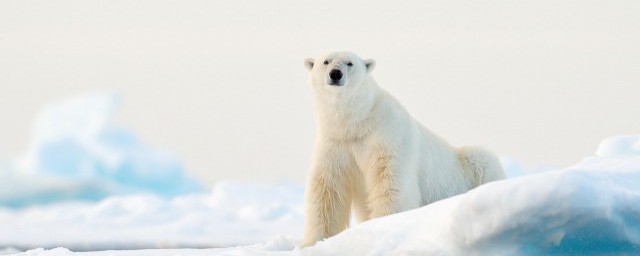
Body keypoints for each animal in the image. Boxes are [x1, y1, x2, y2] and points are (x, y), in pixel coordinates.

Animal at [300, 51, 504, 246]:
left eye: (350, 63)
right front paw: (312, 242)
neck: (357, 123)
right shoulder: (335, 143)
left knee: (482, 159)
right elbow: (327, 189)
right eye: (326, 61)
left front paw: (384, 224)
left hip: (470, 165)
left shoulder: (387, 134)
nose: (335, 73)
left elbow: (390, 180)